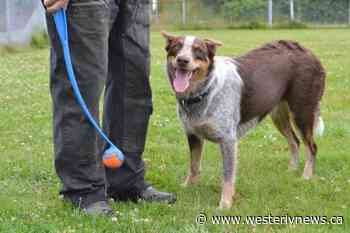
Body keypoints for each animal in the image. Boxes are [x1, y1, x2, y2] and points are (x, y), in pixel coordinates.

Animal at [161, 31, 326, 209]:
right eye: (177, 47)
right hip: (278, 115)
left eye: (198, 50)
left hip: (302, 113)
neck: (205, 91)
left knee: (312, 147)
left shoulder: (228, 140)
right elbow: (194, 165)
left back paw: (306, 176)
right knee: (295, 142)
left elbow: (227, 176)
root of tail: (308, 52)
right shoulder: (193, 134)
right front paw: (188, 187)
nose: (182, 60)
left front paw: (225, 204)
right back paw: (292, 170)